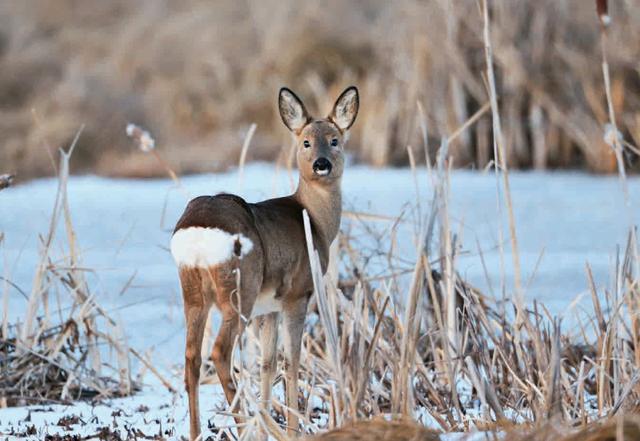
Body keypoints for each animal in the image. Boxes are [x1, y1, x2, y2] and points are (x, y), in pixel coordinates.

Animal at [170, 85, 360, 436]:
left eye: (334, 139)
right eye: (306, 142)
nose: (322, 164)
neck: (313, 220)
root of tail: (198, 231)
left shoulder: (269, 305)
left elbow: (267, 363)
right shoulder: (298, 293)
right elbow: (292, 360)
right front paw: (292, 430)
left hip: (193, 290)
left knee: (192, 356)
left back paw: (198, 431)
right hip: (239, 288)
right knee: (219, 352)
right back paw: (248, 424)